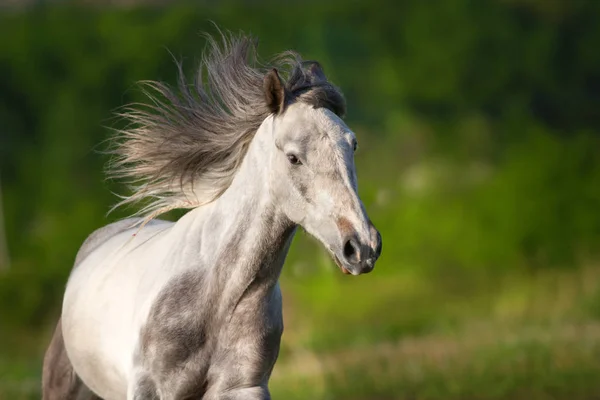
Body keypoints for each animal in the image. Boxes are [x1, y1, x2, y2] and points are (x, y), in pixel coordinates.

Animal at [42, 32, 382, 400]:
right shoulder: (151, 390)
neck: (218, 299)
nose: (362, 247)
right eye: (293, 157)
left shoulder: (244, 387)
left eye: (352, 144)